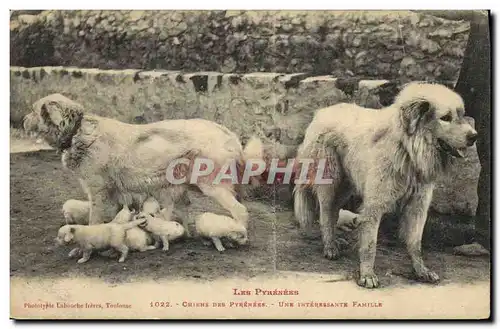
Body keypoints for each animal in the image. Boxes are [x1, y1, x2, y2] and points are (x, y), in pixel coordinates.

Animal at [24, 93, 262, 229]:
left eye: (34, 111)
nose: (25, 119)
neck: (76, 131)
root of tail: (228, 133)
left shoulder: (97, 190)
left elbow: (95, 218)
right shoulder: (114, 192)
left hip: (212, 185)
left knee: (240, 211)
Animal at [294, 82, 478, 288]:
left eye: (461, 115)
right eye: (446, 118)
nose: (474, 136)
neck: (407, 147)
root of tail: (321, 112)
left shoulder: (417, 206)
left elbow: (415, 243)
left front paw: (421, 271)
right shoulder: (374, 205)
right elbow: (370, 245)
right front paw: (367, 275)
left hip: (346, 186)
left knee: (333, 212)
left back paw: (335, 241)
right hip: (330, 181)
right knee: (325, 213)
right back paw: (330, 247)